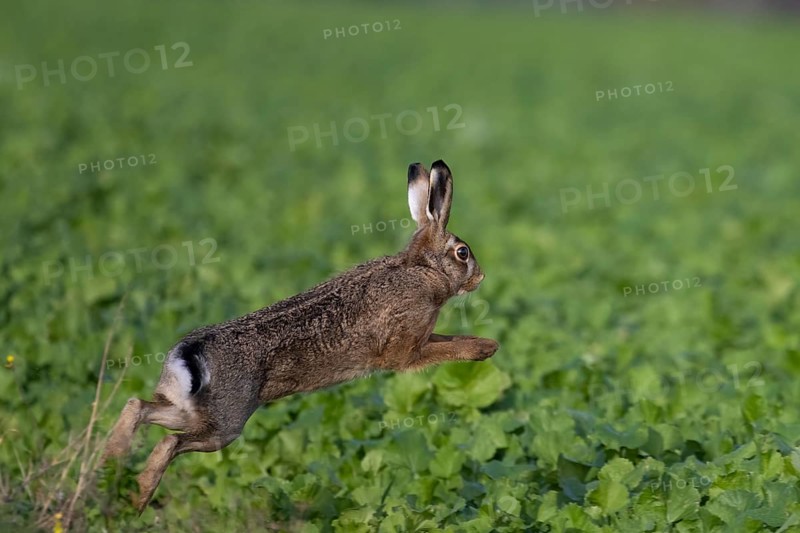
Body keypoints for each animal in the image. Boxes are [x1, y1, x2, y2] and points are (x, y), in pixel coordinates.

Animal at [103, 159, 500, 512]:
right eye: (462, 253)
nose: (481, 277)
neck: (423, 269)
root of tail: (188, 355)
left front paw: (488, 346)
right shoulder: (405, 349)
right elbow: (445, 347)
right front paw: (486, 348)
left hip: (186, 409)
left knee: (138, 407)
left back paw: (111, 464)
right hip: (224, 425)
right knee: (168, 444)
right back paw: (135, 499)